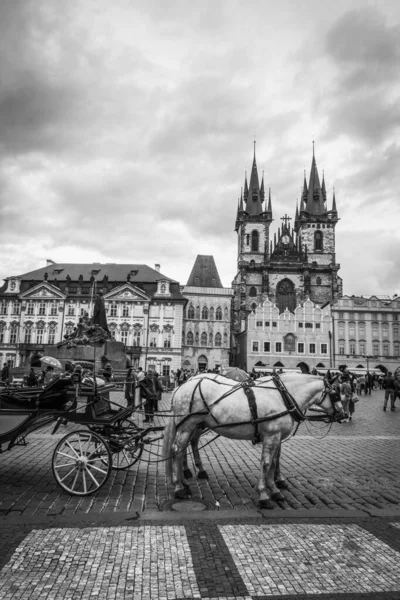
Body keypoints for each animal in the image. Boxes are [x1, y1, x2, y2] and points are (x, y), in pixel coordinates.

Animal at [162, 372, 344, 508]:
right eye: (335, 394)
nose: (344, 415)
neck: (281, 395)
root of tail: (181, 386)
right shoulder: (272, 435)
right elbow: (266, 463)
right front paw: (264, 495)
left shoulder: (276, 436)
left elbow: (274, 462)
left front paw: (275, 488)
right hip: (187, 424)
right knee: (178, 449)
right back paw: (179, 487)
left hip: (195, 425)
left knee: (185, 447)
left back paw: (186, 479)